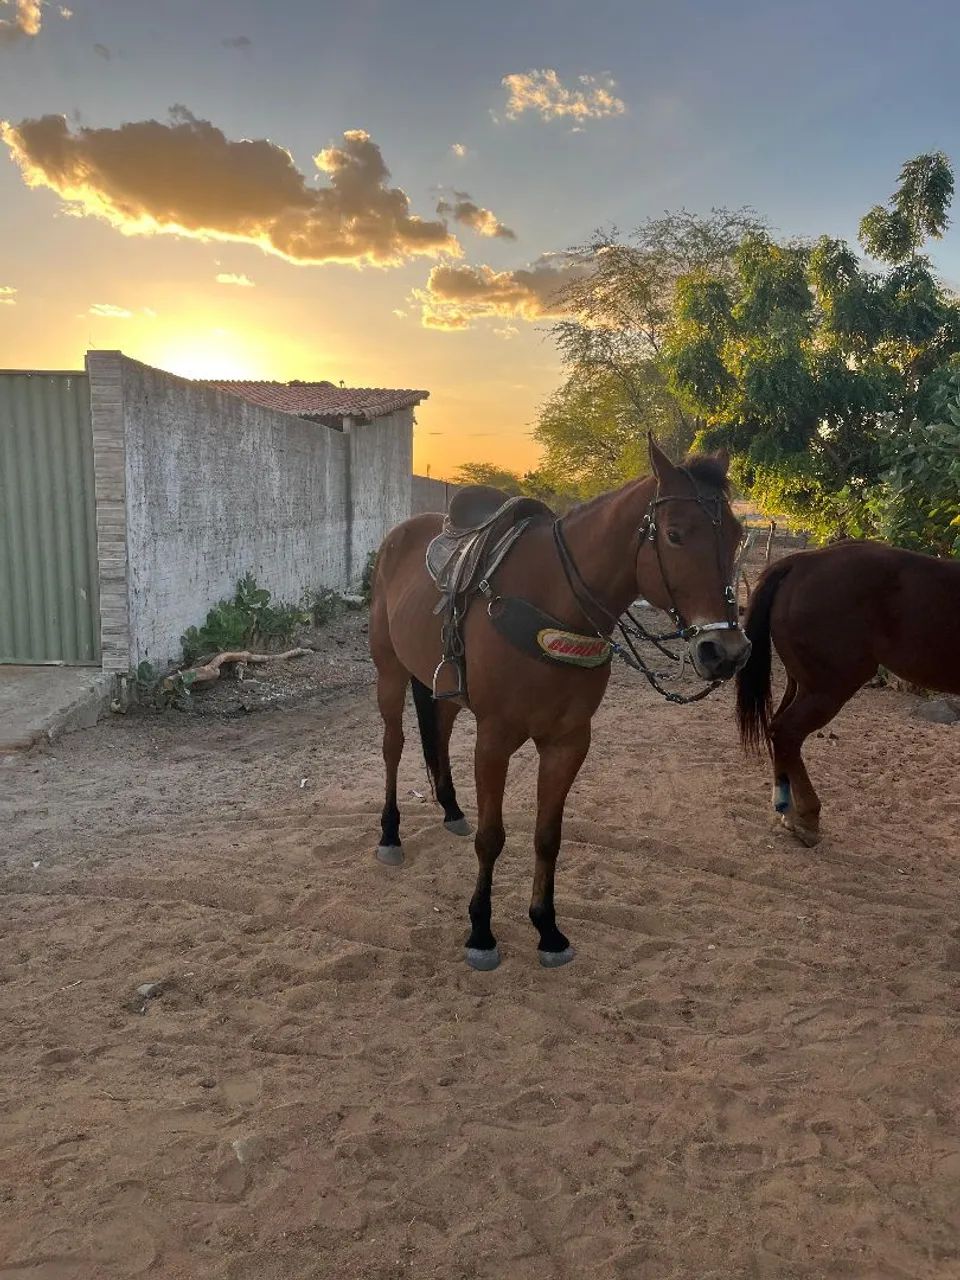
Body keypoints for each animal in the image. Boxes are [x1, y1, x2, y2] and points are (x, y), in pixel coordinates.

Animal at [369, 439, 750, 970]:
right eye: (675, 535)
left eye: (736, 536)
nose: (726, 652)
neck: (553, 605)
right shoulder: (494, 740)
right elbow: (492, 838)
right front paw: (481, 932)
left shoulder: (568, 743)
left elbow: (548, 837)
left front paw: (547, 928)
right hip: (388, 671)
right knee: (393, 746)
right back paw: (390, 835)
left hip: (441, 685)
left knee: (438, 734)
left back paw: (451, 809)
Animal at [736, 539, 960, 846]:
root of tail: (804, 562)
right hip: (827, 690)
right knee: (787, 732)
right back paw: (806, 817)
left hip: (804, 686)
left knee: (779, 732)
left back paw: (788, 811)